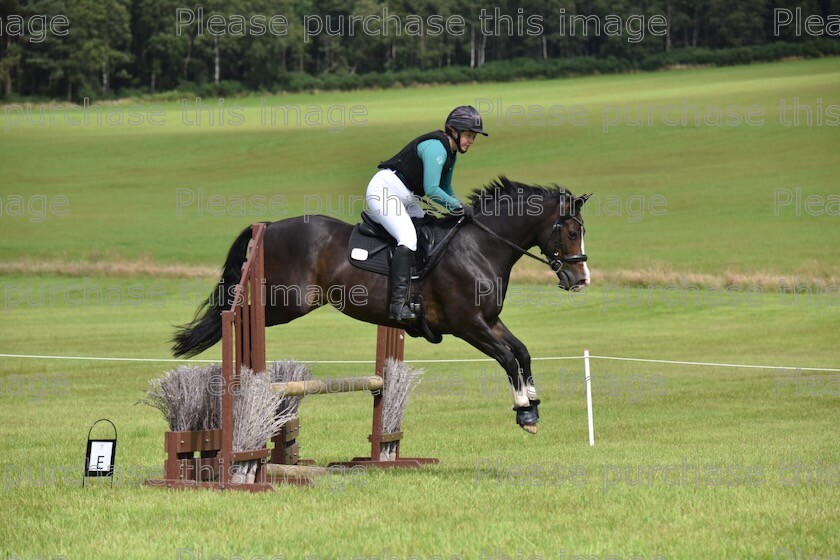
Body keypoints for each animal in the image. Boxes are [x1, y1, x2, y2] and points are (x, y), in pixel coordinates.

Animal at [171, 176, 592, 434]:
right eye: (572, 232)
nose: (581, 279)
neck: (481, 247)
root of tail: (270, 225)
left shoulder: (489, 321)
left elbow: (522, 352)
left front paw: (533, 403)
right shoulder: (468, 325)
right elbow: (506, 358)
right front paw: (523, 409)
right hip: (285, 302)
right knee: (234, 312)